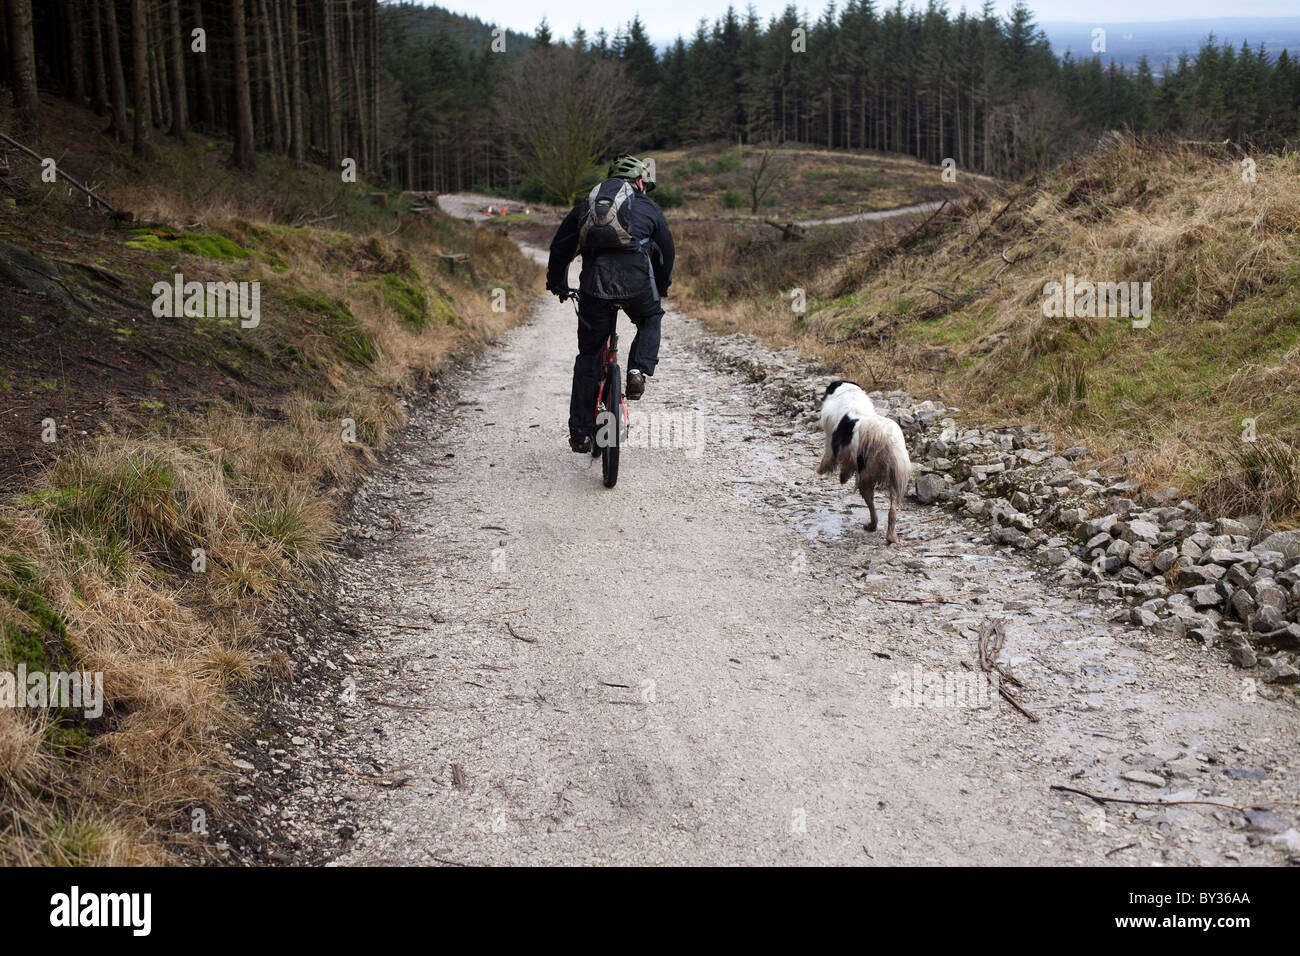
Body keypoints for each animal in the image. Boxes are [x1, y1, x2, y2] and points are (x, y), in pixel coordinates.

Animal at [816, 382, 909, 546]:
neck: (849, 392)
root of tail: (884, 438)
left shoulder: (831, 441)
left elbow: (829, 458)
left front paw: (823, 471)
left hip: (866, 474)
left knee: (870, 504)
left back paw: (872, 526)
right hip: (896, 476)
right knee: (892, 509)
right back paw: (891, 536)